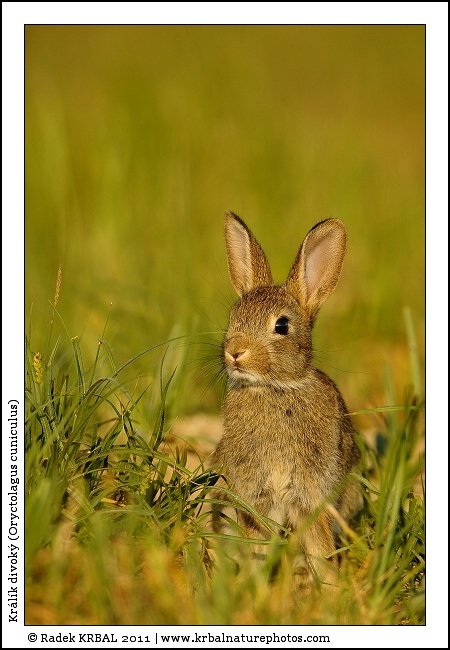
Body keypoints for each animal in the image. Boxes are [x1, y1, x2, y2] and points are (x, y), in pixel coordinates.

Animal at [212, 212, 361, 588]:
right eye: (233, 318)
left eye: (281, 326)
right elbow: (256, 544)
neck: (275, 388)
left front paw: (330, 588)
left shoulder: (310, 494)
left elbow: (319, 545)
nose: (235, 351)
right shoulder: (255, 495)